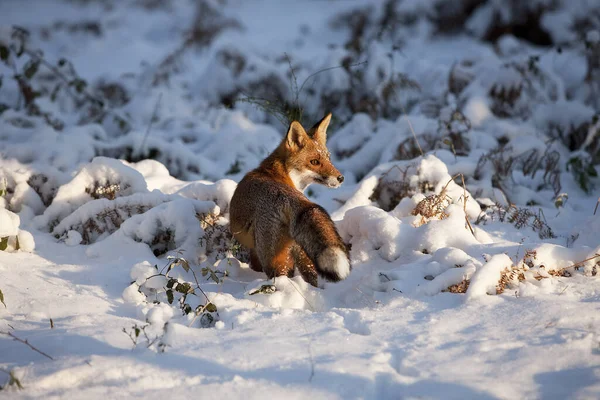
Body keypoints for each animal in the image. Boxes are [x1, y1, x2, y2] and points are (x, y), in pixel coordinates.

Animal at [230, 114, 352, 286]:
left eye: (328, 158)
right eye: (315, 162)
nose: (341, 178)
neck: (277, 173)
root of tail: (288, 198)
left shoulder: (254, 250)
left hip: (273, 259)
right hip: (302, 254)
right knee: (311, 278)